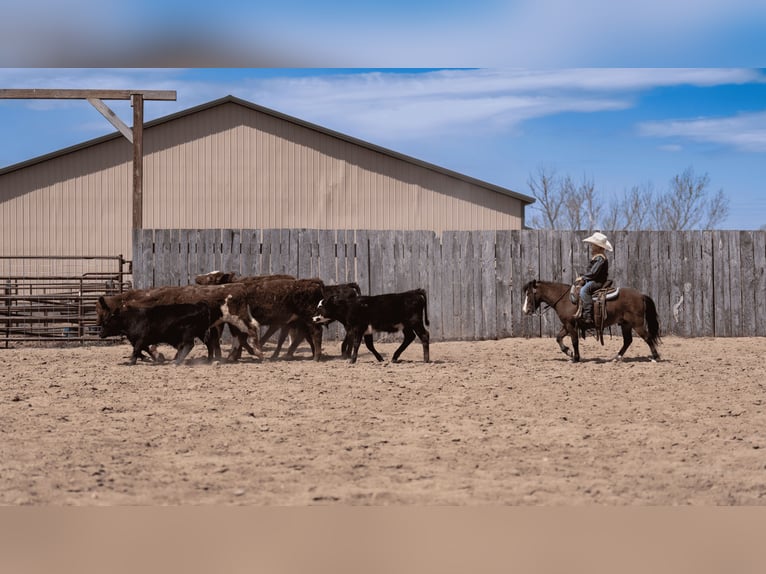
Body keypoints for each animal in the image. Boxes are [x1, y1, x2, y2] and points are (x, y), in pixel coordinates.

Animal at [522, 279, 661, 363]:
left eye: (529, 294)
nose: (525, 311)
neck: (565, 299)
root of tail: (641, 295)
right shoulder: (567, 325)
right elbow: (558, 338)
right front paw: (569, 352)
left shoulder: (570, 325)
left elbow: (574, 341)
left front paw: (575, 358)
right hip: (625, 324)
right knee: (628, 340)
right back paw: (616, 357)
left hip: (637, 324)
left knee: (647, 337)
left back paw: (656, 357)